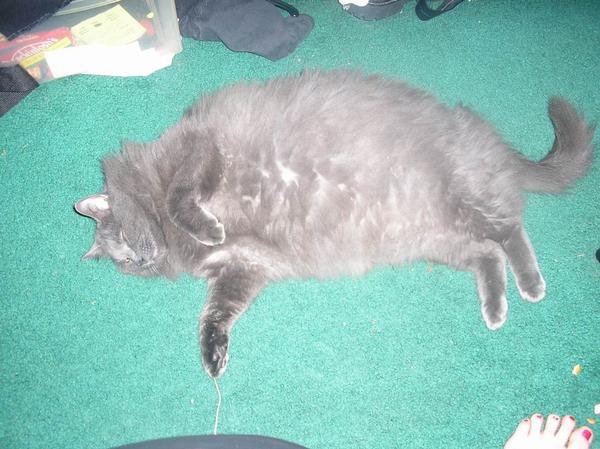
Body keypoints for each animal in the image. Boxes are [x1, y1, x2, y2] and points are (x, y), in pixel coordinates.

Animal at [74, 70, 594, 378]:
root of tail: (487, 140)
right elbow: (216, 312)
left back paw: (531, 285)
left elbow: (183, 196)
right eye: (125, 260)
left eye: (126, 239)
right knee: (488, 252)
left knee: (510, 229)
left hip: (461, 203)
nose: (141, 258)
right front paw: (213, 354)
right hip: (438, 238)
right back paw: (496, 309)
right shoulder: (246, 265)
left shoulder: (198, 149)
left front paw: (206, 225)